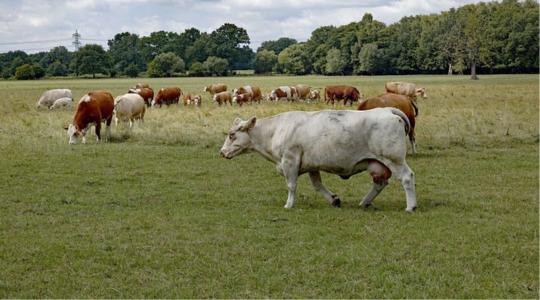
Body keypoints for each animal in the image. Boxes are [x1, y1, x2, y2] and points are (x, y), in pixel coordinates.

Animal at [219, 108, 418, 211]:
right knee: (380, 183)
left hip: (394, 159)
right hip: (376, 163)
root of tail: (387, 110)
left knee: (407, 177)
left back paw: (411, 206)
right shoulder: (311, 164)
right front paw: (334, 200)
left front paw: (289, 204)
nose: (221, 152)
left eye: (231, 135)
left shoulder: (289, 160)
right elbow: (317, 185)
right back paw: (365, 202)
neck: (276, 130)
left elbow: (291, 185)